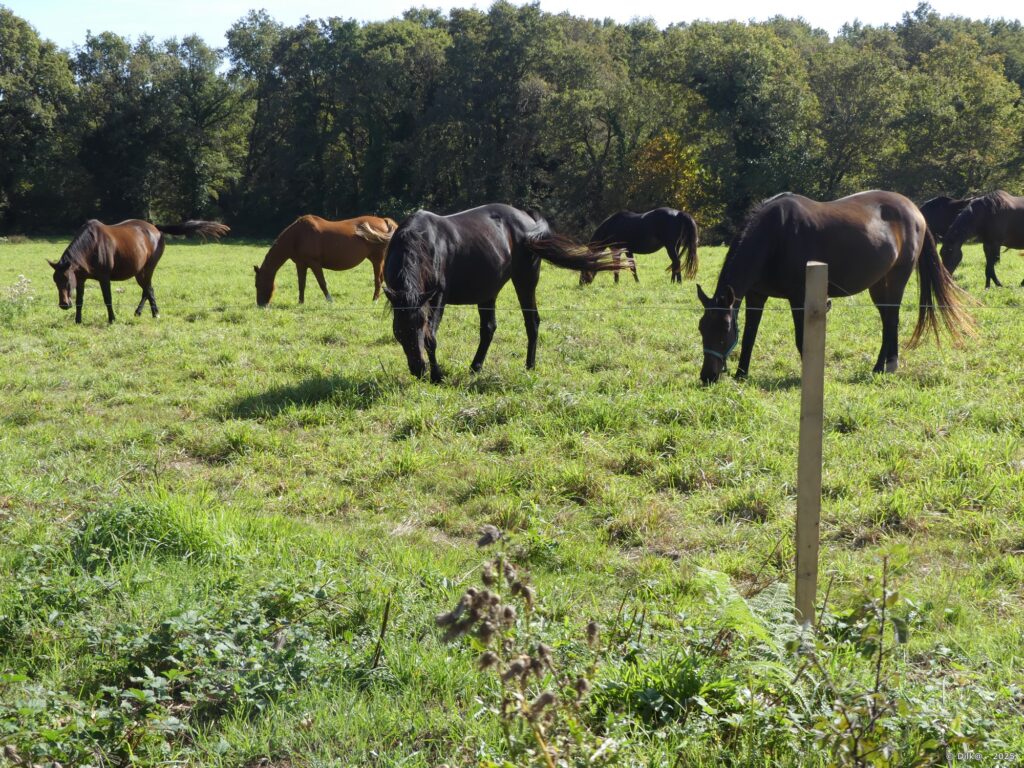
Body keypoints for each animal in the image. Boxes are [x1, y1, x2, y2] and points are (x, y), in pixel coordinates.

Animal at [49, 219, 230, 324]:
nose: (64, 304)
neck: (91, 246)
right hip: (140, 271)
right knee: (147, 290)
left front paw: (112, 319)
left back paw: (154, 313)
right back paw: (142, 312)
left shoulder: (104, 278)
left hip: (147, 269)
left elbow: (108, 299)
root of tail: (155, 228)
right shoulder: (81, 278)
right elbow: (80, 300)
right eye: (56, 281)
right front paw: (78, 320)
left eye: (66, 279)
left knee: (148, 289)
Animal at [254, 215, 398, 306]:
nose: (261, 305)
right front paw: (300, 302)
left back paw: (375, 301)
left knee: (378, 280)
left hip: (377, 259)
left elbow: (322, 283)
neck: (297, 236)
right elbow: (301, 284)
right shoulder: (301, 265)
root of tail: (384, 221)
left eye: (257, 284)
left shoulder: (315, 264)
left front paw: (330, 300)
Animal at [383, 204, 627, 381]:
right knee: (489, 328)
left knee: (532, 322)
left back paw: (529, 365)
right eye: (399, 329)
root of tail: (527, 218)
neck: (418, 242)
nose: (418, 368)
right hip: (487, 290)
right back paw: (475, 367)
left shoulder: (437, 296)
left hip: (525, 281)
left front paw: (437, 376)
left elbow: (431, 337)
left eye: (420, 324)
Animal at [696, 191, 973, 384]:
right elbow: (749, 336)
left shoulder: (799, 298)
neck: (775, 235)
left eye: (723, 331)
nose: (708, 376)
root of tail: (915, 211)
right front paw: (742, 374)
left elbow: (801, 338)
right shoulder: (756, 296)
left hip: (896, 279)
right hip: (878, 285)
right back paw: (880, 366)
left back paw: (889, 365)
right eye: (702, 328)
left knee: (892, 319)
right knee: (887, 320)